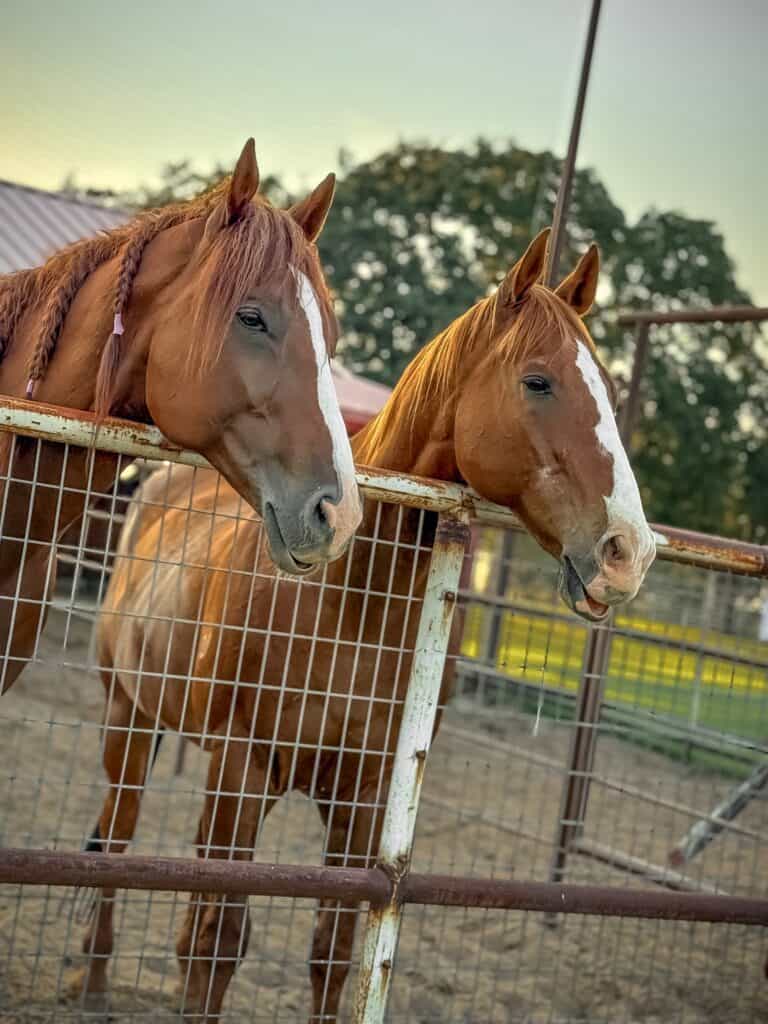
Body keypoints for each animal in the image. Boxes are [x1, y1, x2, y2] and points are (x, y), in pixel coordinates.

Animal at [73, 229, 656, 1020]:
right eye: (539, 382)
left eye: (609, 390)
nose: (630, 551)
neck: (348, 607)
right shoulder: (240, 774)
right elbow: (214, 940)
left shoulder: (366, 795)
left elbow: (334, 950)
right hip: (127, 719)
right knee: (119, 836)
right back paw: (93, 978)